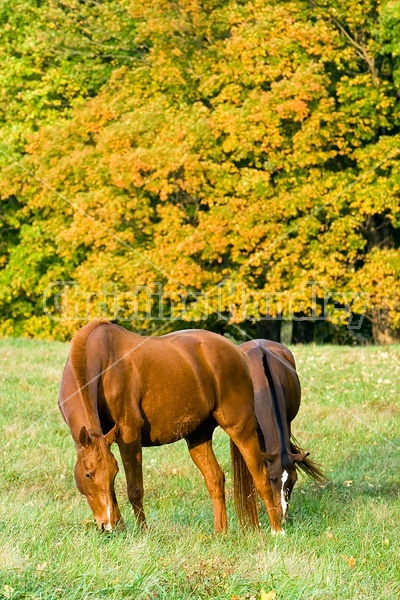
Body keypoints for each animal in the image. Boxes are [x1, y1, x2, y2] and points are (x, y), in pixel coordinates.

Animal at [59, 324, 282, 536]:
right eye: (88, 475)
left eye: (113, 473)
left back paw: (277, 530)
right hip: (198, 437)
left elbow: (134, 489)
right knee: (215, 479)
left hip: (240, 429)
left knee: (261, 477)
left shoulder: (129, 434)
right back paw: (220, 533)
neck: (105, 364)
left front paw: (142, 532)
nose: (108, 524)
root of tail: (238, 353)